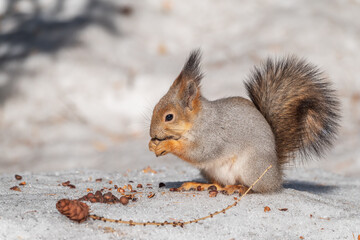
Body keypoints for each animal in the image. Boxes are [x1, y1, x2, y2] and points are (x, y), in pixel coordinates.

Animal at [148, 50, 338, 193]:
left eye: (169, 117)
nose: (152, 133)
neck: (198, 120)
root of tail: (276, 175)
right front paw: (152, 144)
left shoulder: (212, 135)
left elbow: (200, 152)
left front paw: (167, 145)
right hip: (212, 171)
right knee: (220, 184)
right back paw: (202, 185)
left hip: (251, 166)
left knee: (256, 187)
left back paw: (239, 188)